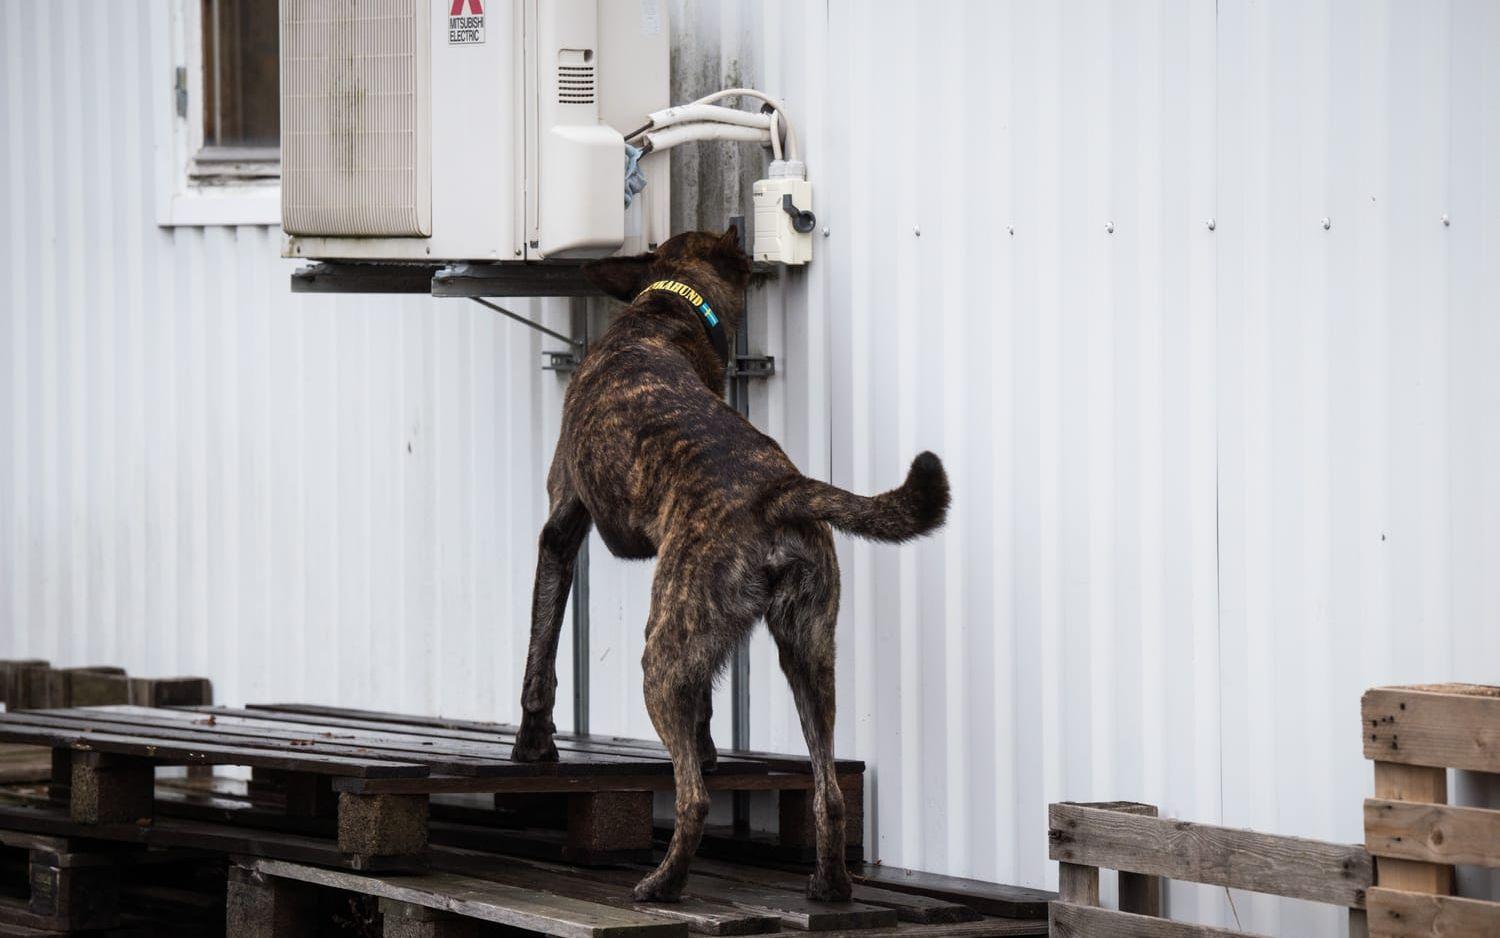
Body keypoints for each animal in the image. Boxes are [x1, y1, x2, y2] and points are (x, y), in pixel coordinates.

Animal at [510, 225, 942, 900]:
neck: (665, 310)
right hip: (808, 652)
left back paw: (662, 884)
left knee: (693, 800)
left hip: (661, 657)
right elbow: (707, 706)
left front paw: (532, 746)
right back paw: (829, 886)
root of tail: (780, 492)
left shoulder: (560, 527)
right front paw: (710, 745)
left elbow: (541, 654)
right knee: (828, 793)